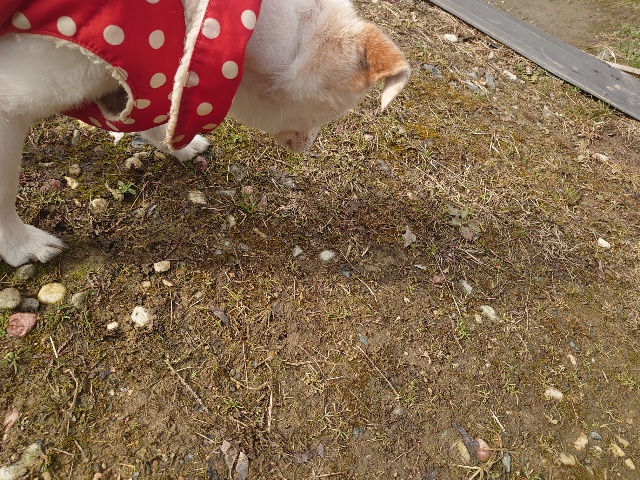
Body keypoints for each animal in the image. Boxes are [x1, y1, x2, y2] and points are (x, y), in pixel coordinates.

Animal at [0, 0, 410, 267]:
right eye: (334, 112)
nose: (307, 147)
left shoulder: (143, 79)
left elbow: (157, 110)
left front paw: (178, 146)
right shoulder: (10, 101)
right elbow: (4, 192)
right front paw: (21, 245)